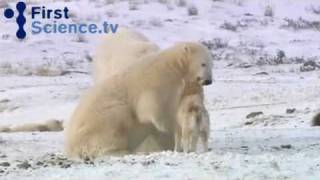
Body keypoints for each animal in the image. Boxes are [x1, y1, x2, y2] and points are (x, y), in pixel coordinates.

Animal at [65, 42, 212, 159]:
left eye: (211, 64)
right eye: (203, 64)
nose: (209, 81)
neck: (172, 66)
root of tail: (70, 146)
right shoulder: (155, 81)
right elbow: (148, 106)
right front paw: (164, 126)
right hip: (101, 121)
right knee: (115, 124)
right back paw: (123, 151)